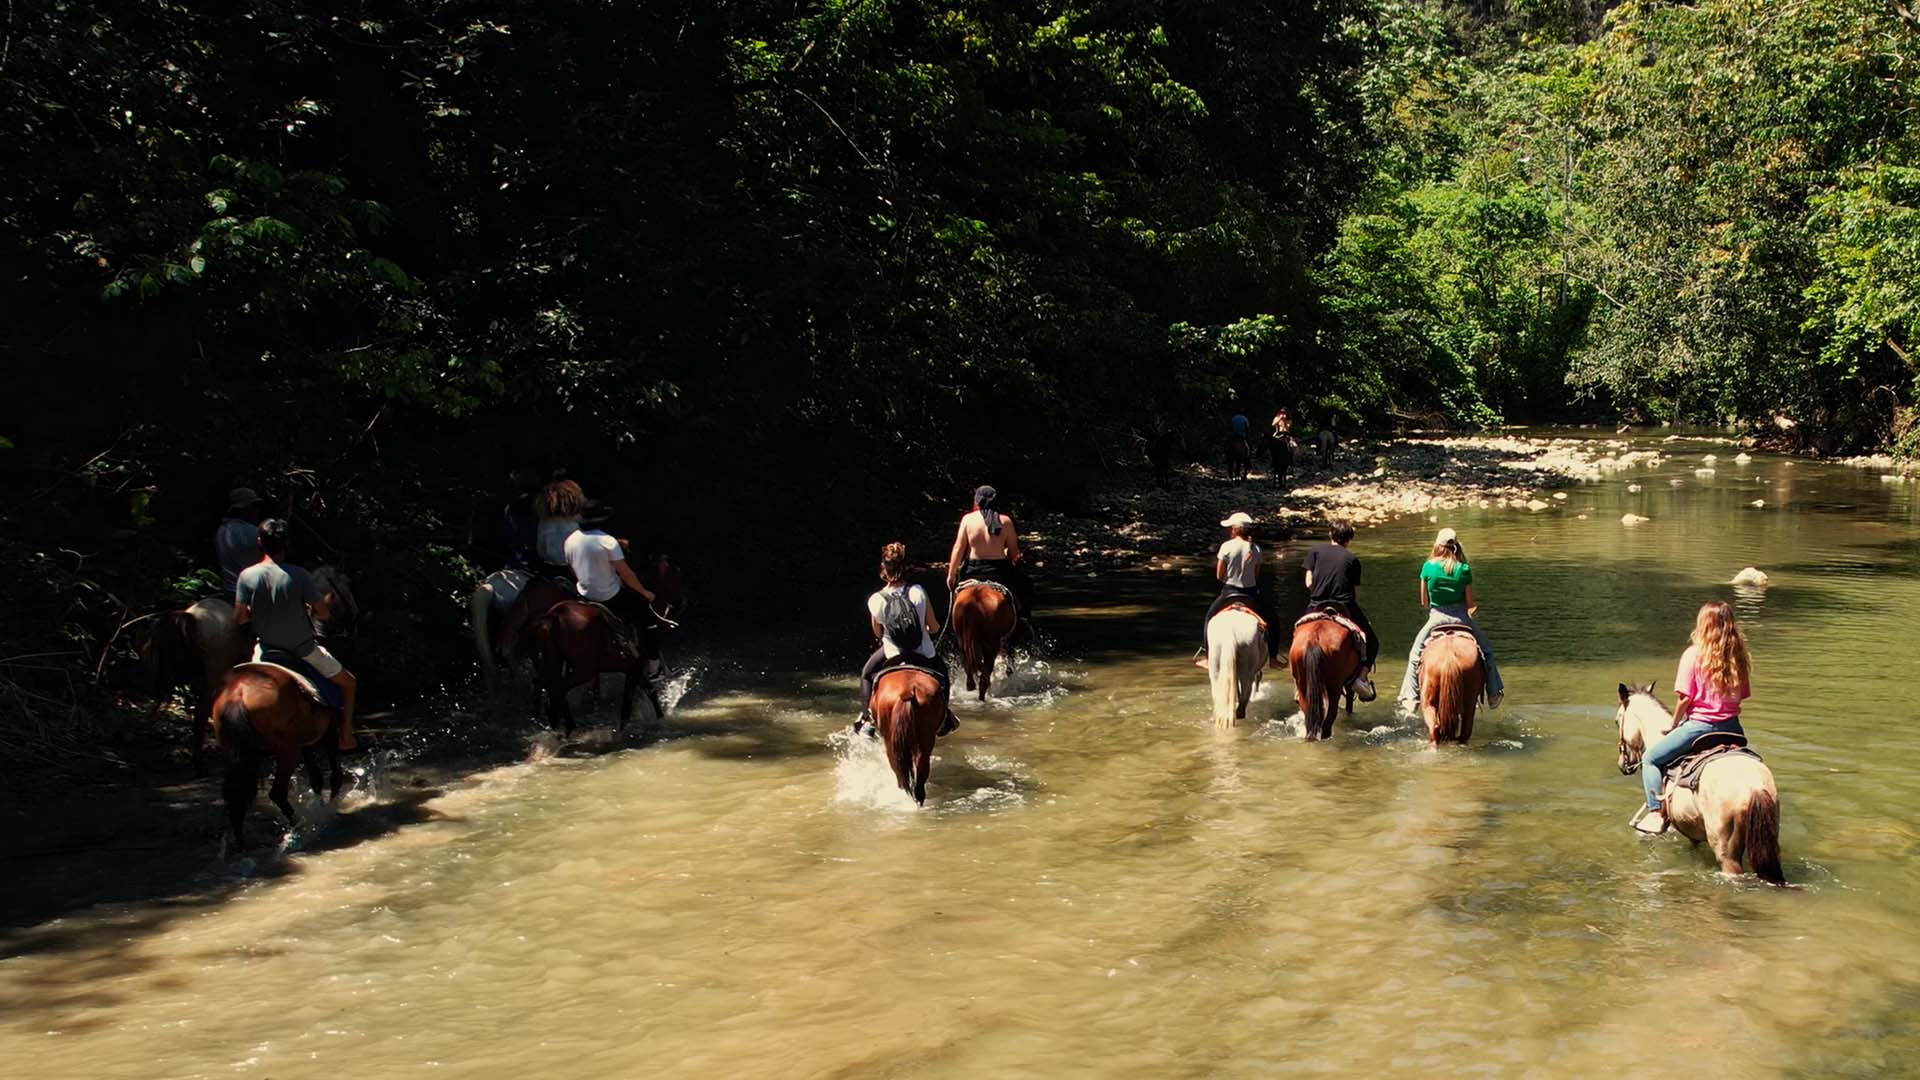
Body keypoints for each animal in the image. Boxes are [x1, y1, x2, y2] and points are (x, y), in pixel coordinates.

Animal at [212, 661, 347, 845]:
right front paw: (328, 810)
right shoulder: (329, 731)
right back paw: (301, 827)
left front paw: (320, 807)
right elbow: (334, 776)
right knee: (277, 793)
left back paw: (241, 842)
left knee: (235, 794)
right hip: (288, 751)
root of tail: (237, 692)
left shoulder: (304, 743)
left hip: (238, 754)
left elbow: (316, 778)